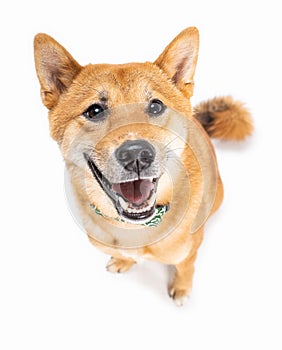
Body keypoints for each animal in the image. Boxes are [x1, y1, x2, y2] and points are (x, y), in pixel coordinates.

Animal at [34, 27, 252, 304]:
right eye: (94, 111)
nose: (136, 154)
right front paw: (123, 261)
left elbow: (186, 266)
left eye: (156, 106)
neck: (135, 226)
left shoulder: (189, 251)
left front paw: (182, 288)